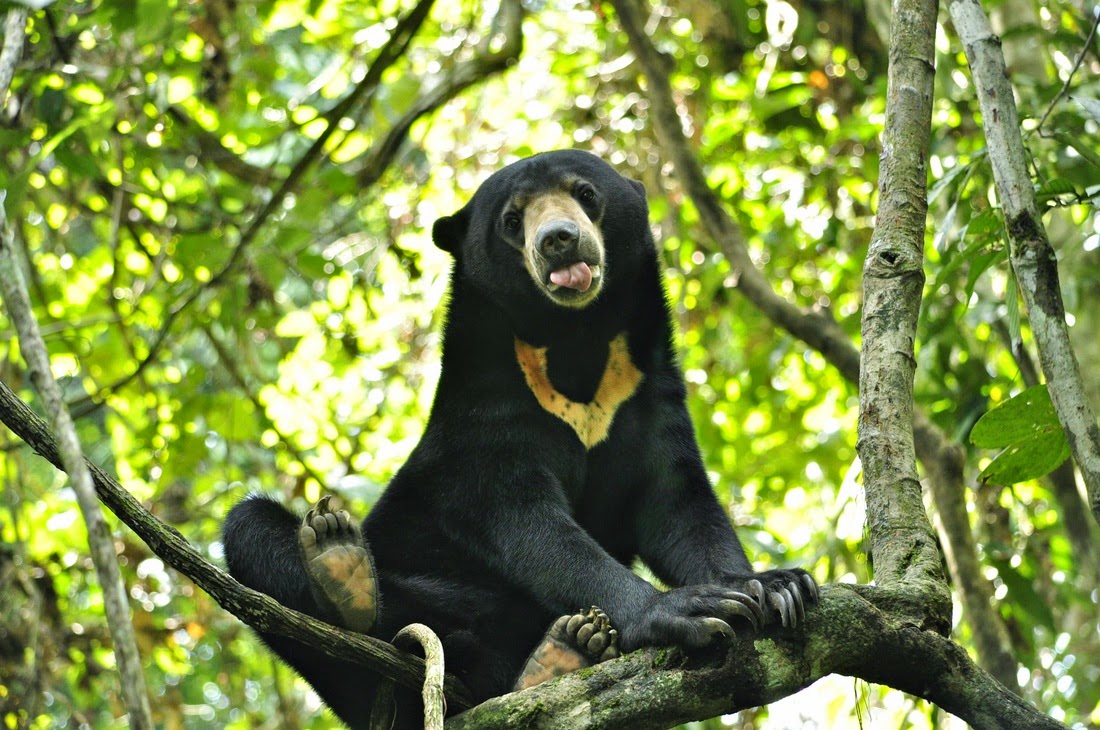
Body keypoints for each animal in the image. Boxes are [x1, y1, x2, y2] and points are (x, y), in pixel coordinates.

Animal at [223, 150, 822, 725]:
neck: (573, 339)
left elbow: (678, 506)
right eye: (512, 220)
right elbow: (521, 519)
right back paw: (345, 569)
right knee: (255, 530)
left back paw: (565, 649)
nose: (557, 240)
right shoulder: (488, 411)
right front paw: (688, 609)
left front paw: (776, 586)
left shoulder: (647, 394)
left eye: (586, 193)